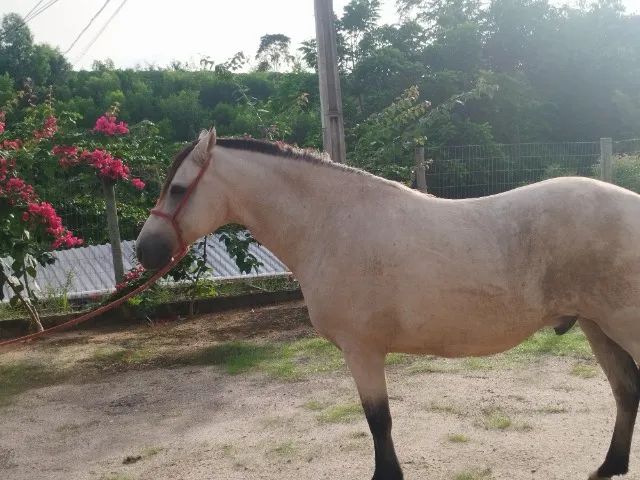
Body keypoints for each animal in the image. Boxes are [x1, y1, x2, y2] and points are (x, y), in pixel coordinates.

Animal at [136, 129, 640, 480]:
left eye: (178, 189)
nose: (146, 250)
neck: (331, 223)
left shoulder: (361, 350)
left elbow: (378, 421)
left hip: (622, 327)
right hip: (598, 328)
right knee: (626, 390)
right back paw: (609, 466)